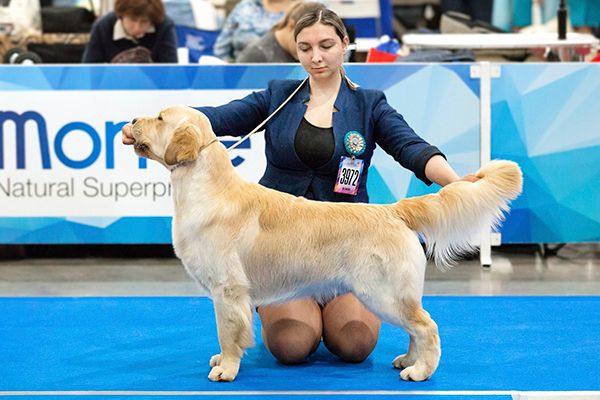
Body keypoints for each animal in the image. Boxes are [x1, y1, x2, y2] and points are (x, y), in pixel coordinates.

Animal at [129, 104, 524, 382]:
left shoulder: (228, 290)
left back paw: (420, 371)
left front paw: (226, 368)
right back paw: (408, 361)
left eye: (160, 117)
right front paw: (223, 360)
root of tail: (393, 211)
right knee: (416, 327)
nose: (131, 121)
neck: (206, 188)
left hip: (382, 292)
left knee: (427, 326)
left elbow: (228, 332)